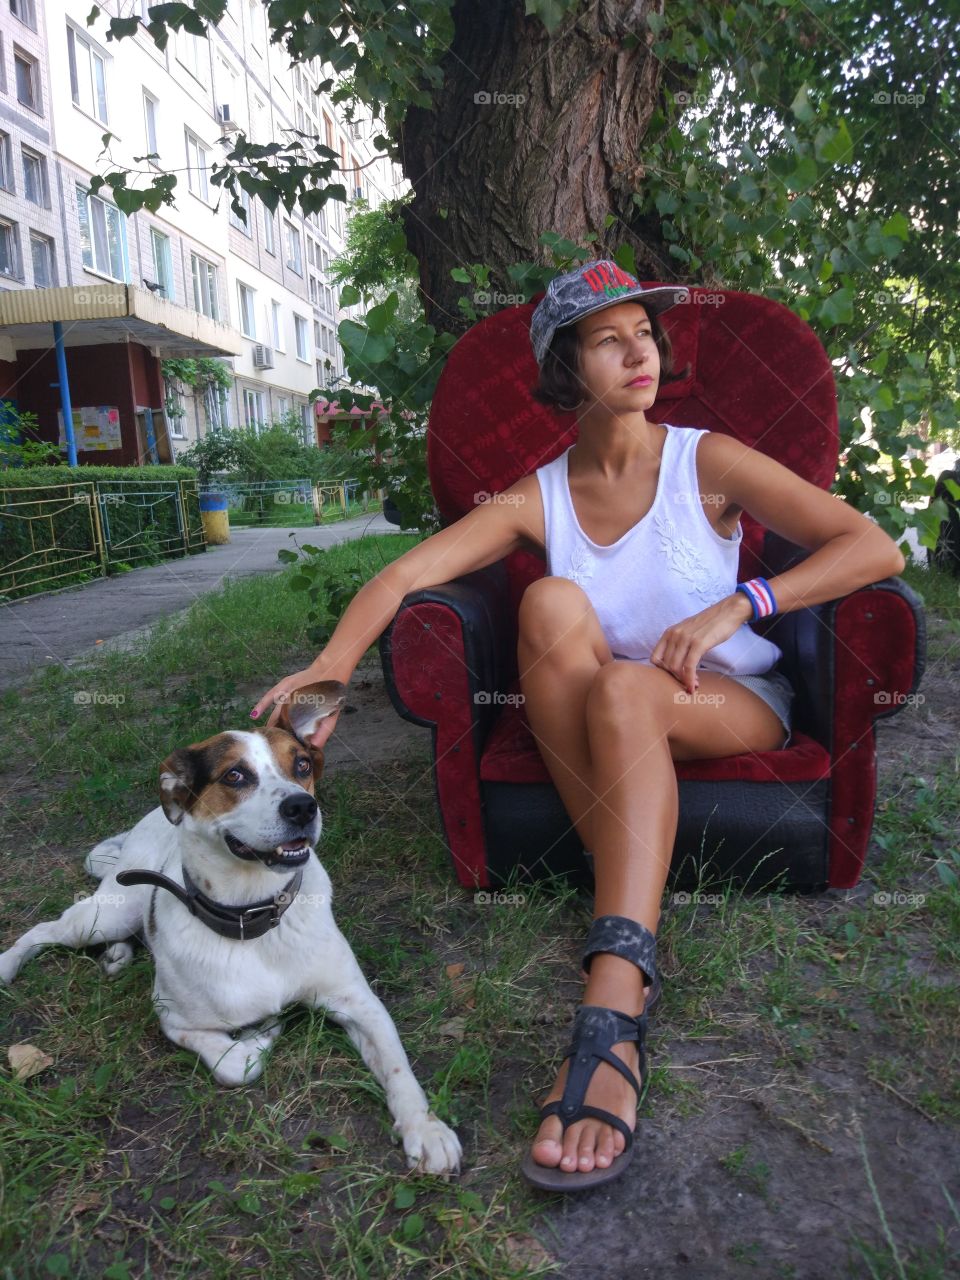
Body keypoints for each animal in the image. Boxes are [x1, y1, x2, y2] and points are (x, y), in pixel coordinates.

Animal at [0, 686, 463, 1172]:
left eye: (301, 765)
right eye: (235, 775)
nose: (303, 806)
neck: (253, 917)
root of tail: (145, 822)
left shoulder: (360, 1003)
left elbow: (399, 1067)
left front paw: (425, 1129)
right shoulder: (173, 1018)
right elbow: (235, 1064)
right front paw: (261, 1036)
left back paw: (118, 954)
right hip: (106, 913)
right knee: (43, 929)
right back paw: (7, 965)